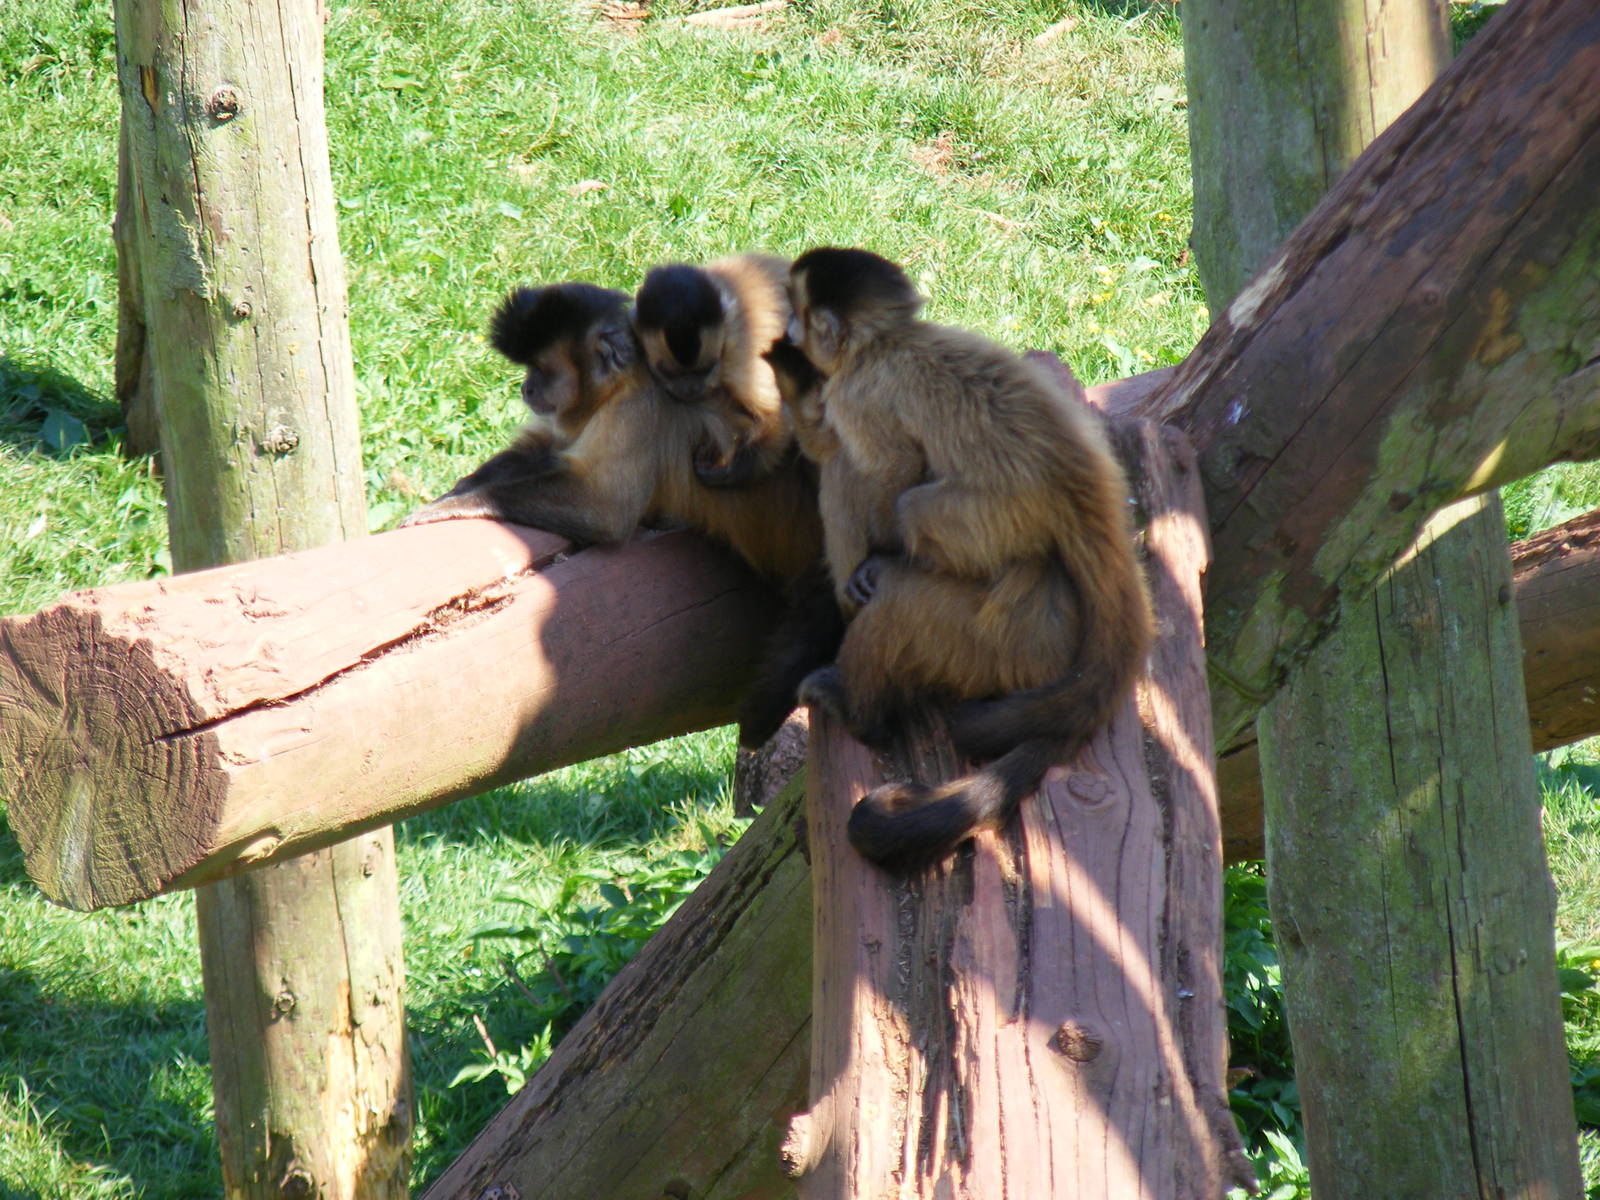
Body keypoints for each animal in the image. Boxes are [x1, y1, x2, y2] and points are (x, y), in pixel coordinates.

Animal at [633, 254, 792, 489]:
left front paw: (735, 470)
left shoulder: (740, 355)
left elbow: (778, 412)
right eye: (668, 373)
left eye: (707, 369)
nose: (689, 389)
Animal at [782, 246, 1155, 871]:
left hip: (983, 602)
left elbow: (888, 467)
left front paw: (874, 559)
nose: (786, 329)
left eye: (798, 315)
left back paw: (859, 708)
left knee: (900, 530)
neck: (891, 338)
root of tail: (1074, 480)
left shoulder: (858, 391)